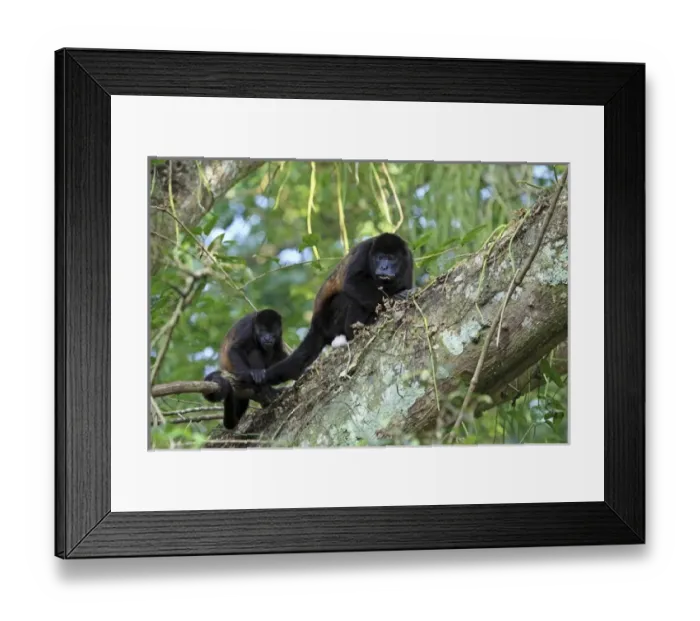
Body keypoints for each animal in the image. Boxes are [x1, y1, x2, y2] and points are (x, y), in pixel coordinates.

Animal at [243, 232, 414, 387]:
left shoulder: (409, 261)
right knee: (347, 298)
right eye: (379, 257)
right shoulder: (363, 252)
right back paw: (357, 330)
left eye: (391, 258)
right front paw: (394, 298)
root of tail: (316, 324)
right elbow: (351, 282)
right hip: (330, 321)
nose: (384, 267)